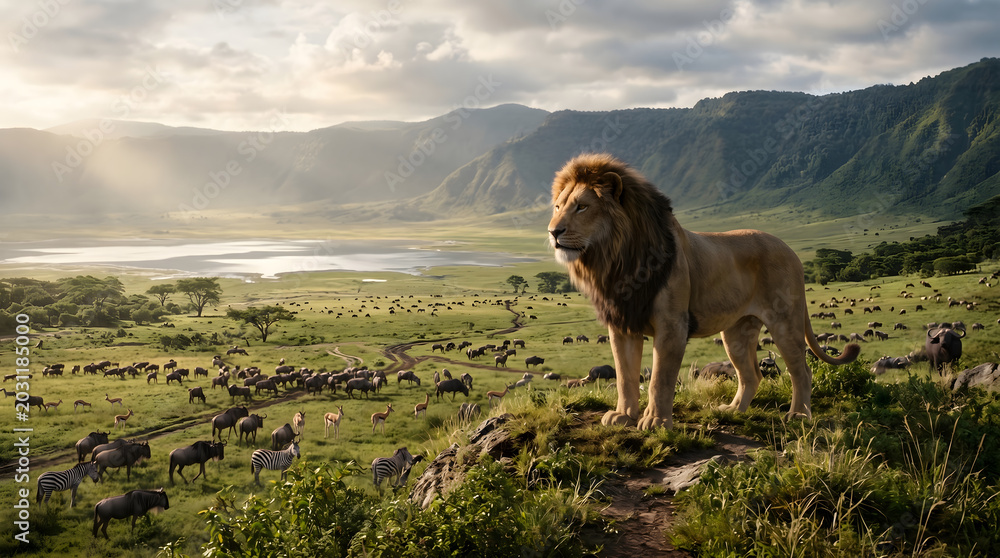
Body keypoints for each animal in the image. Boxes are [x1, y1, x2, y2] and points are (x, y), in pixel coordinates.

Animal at [547, 153, 860, 429]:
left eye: (582, 207)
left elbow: (660, 379)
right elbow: (625, 377)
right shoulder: (623, 325)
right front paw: (623, 415)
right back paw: (733, 410)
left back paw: (799, 415)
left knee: (802, 370)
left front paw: (656, 421)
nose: (553, 232)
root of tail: (791, 250)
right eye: (558, 207)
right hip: (736, 333)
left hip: (785, 322)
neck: (615, 259)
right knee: (752, 375)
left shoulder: (672, 325)